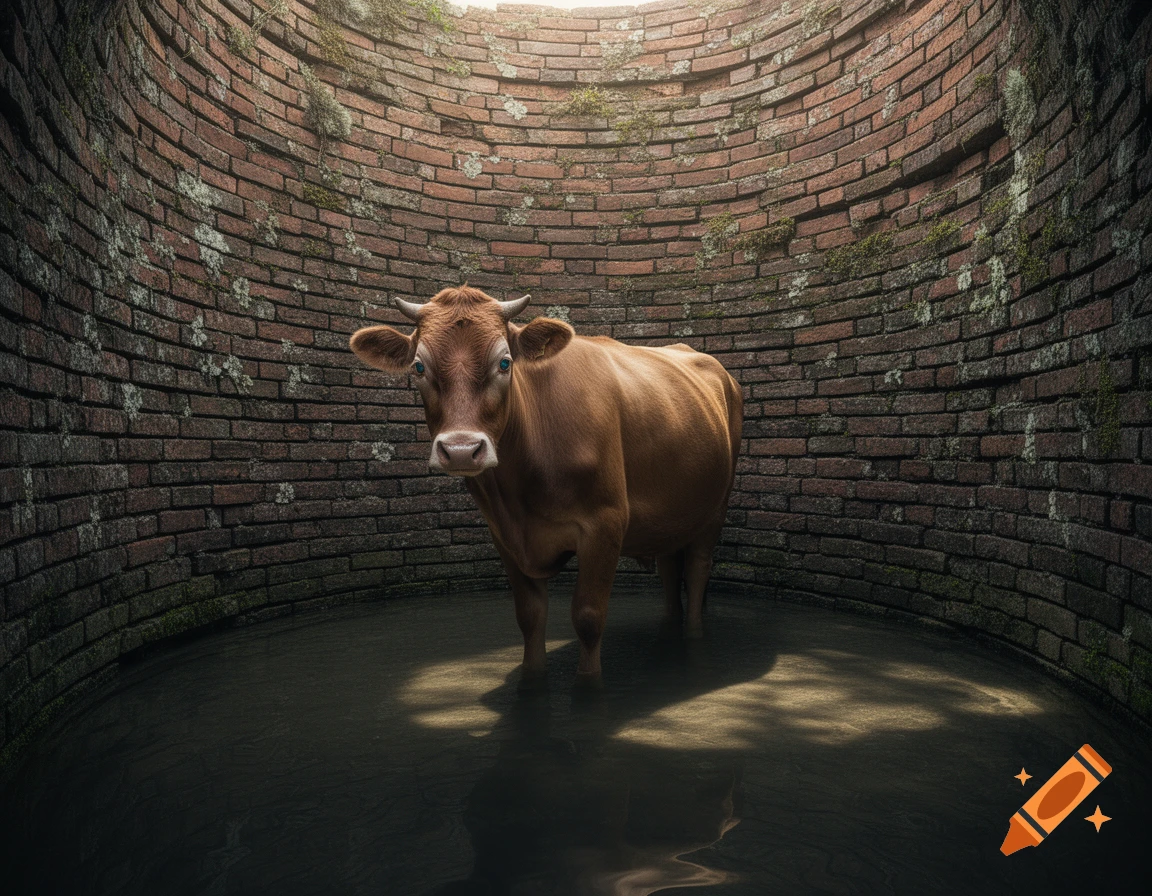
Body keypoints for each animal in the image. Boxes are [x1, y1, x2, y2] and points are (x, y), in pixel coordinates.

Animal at [349, 286, 743, 684]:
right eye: (418, 367)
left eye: (505, 363)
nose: (461, 450)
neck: (520, 496)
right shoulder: (505, 535)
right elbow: (530, 616)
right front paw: (533, 675)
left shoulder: (605, 523)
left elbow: (588, 617)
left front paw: (589, 682)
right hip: (670, 516)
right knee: (669, 569)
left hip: (716, 506)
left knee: (697, 570)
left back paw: (693, 635)